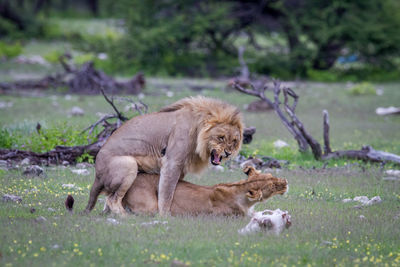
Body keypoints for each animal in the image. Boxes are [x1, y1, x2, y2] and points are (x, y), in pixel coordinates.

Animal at [84, 96, 244, 216]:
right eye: (221, 137)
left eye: (234, 141)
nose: (228, 153)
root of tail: (97, 174)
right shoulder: (172, 162)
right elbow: (167, 192)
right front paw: (165, 216)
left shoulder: (181, 167)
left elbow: (173, 189)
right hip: (129, 164)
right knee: (112, 199)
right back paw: (125, 216)